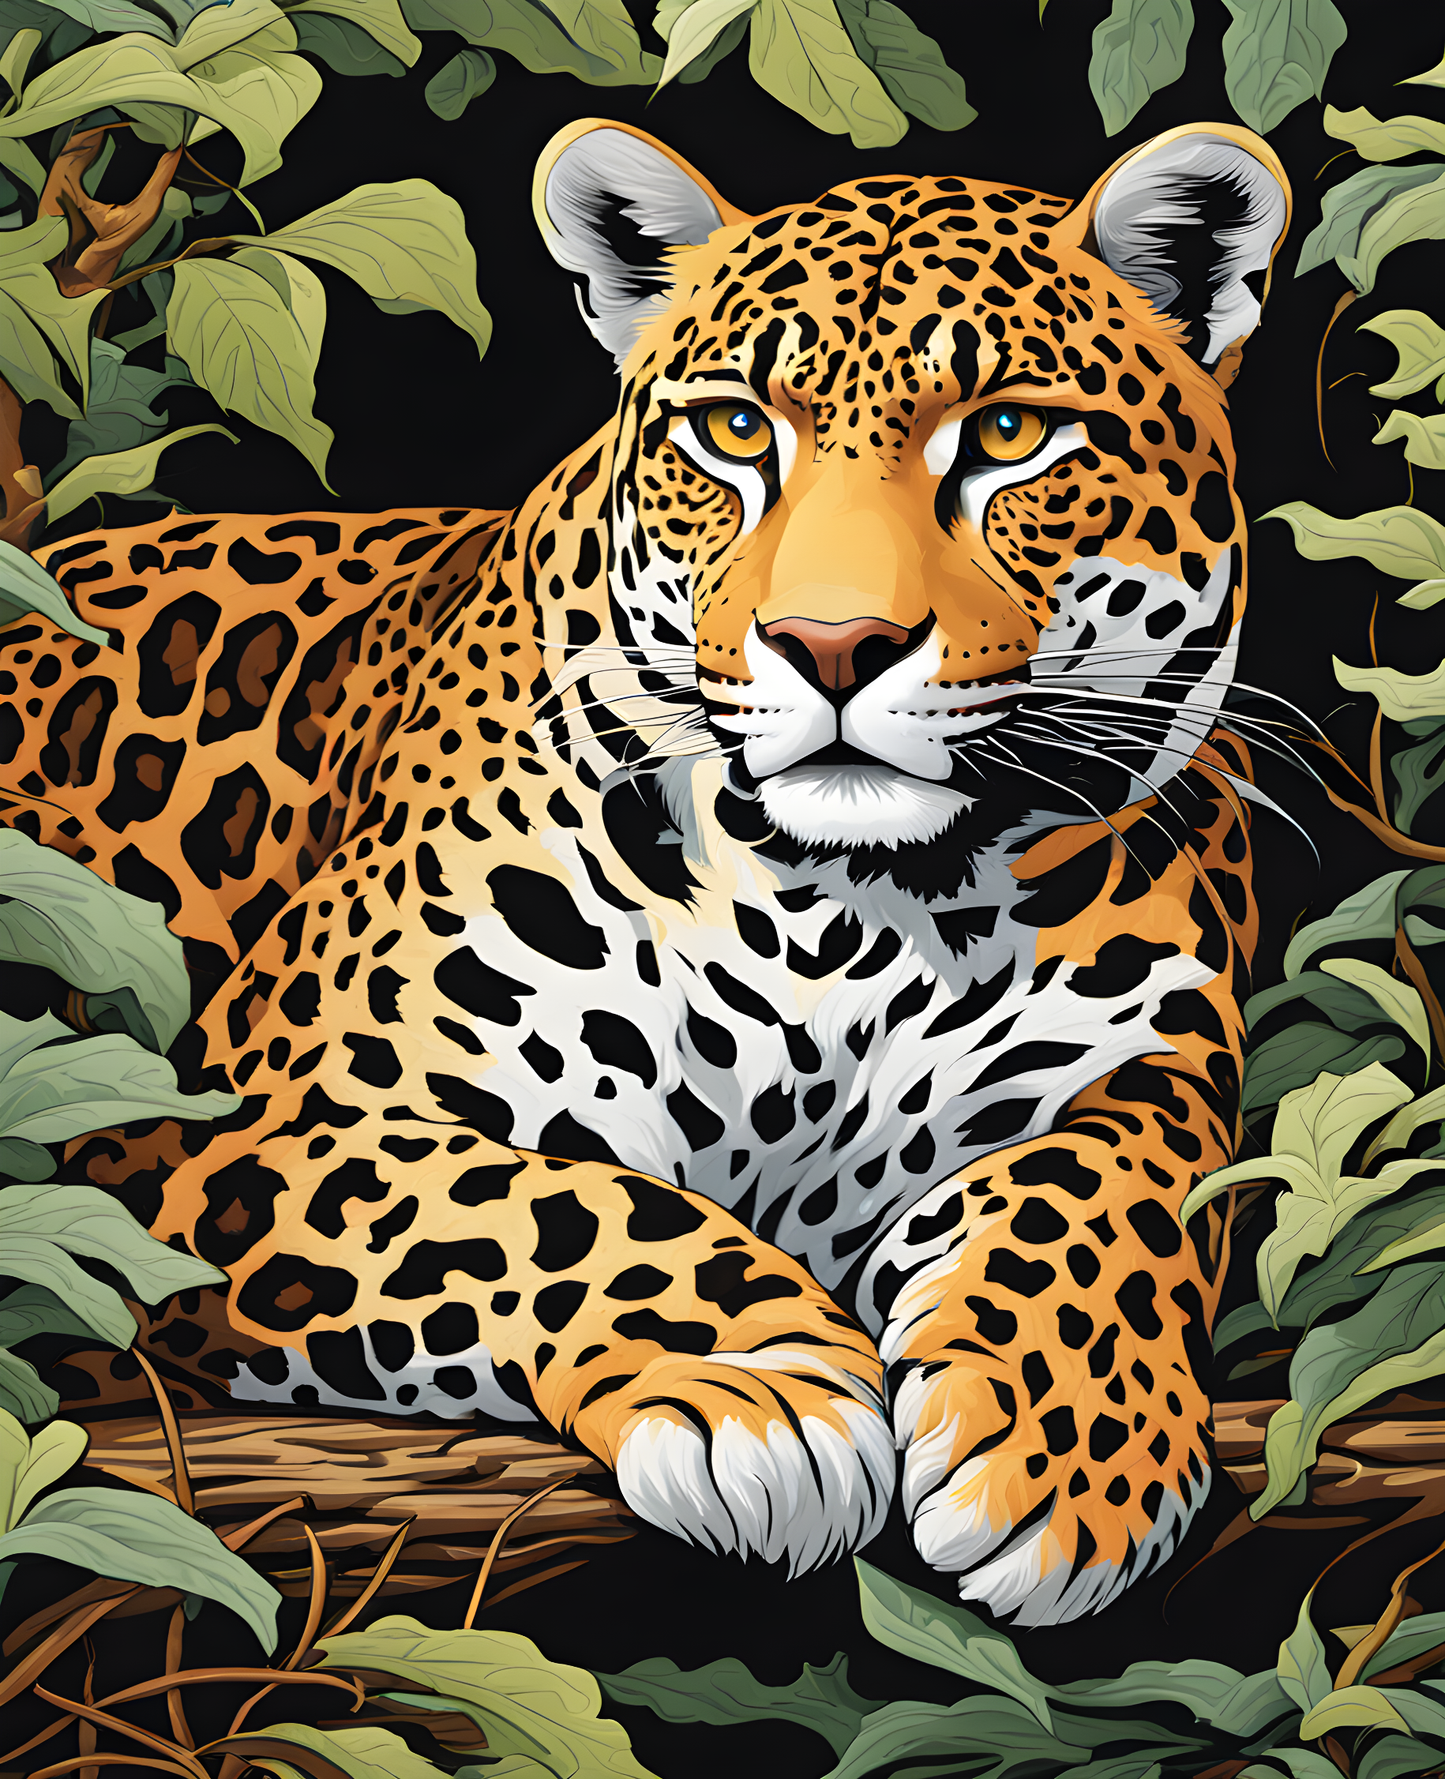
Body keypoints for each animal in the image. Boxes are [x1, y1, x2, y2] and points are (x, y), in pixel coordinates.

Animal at [0, 117, 1289, 1626]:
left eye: (1010, 436)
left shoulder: (1154, 1069)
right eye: (734, 431)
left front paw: (1069, 1445)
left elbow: (1096, 1197)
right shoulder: (235, 1126)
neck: (845, 915)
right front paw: (760, 1390)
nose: (831, 645)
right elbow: (549, 1206)